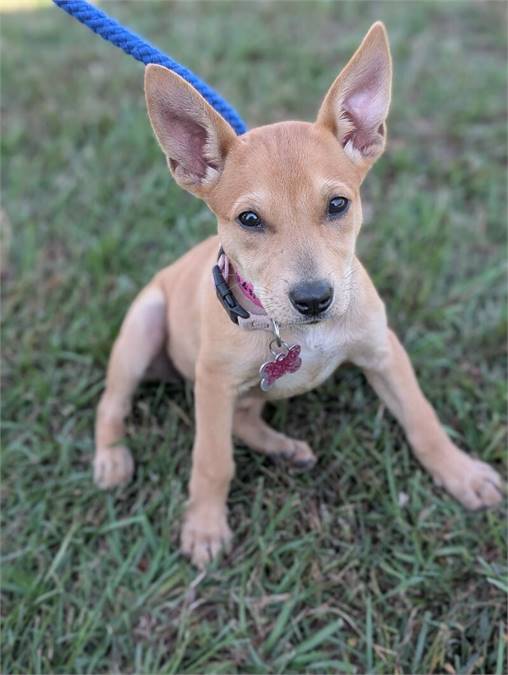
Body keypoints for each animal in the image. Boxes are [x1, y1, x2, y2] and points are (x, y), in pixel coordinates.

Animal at [95, 22, 504, 572]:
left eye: (338, 204)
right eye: (249, 219)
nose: (314, 299)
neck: (296, 332)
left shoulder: (384, 351)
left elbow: (422, 419)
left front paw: (461, 475)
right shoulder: (213, 382)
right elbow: (212, 460)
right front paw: (204, 526)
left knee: (244, 420)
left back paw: (284, 448)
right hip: (144, 325)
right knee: (113, 403)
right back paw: (111, 458)